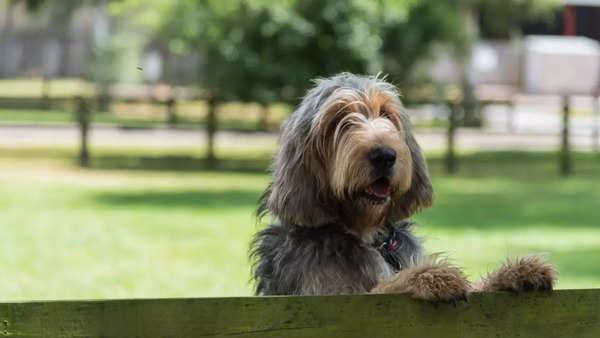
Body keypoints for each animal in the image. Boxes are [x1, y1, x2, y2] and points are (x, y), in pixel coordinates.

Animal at [250, 74, 556, 302]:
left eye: (386, 113)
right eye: (338, 119)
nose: (385, 155)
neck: (366, 233)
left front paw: (515, 272)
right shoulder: (330, 295)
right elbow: (385, 287)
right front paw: (429, 276)